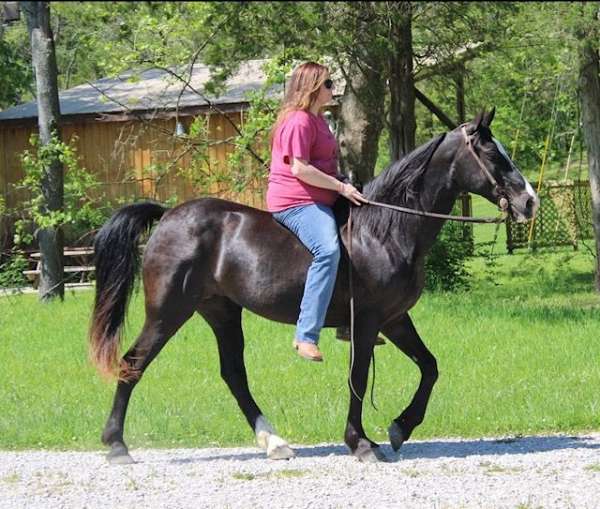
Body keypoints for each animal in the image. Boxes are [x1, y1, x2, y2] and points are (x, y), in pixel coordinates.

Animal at [89, 109, 540, 462]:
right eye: (491, 153)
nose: (530, 201)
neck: (386, 229)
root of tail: (168, 216)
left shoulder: (394, 319)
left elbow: (429, 367)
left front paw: (400, 428)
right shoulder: (367, 321)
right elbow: (359, 377)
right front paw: (360, 442)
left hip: (221, 311)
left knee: (233, 374)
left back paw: (273, 442)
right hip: (168, 311)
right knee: (132, 363)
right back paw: (116, 445)